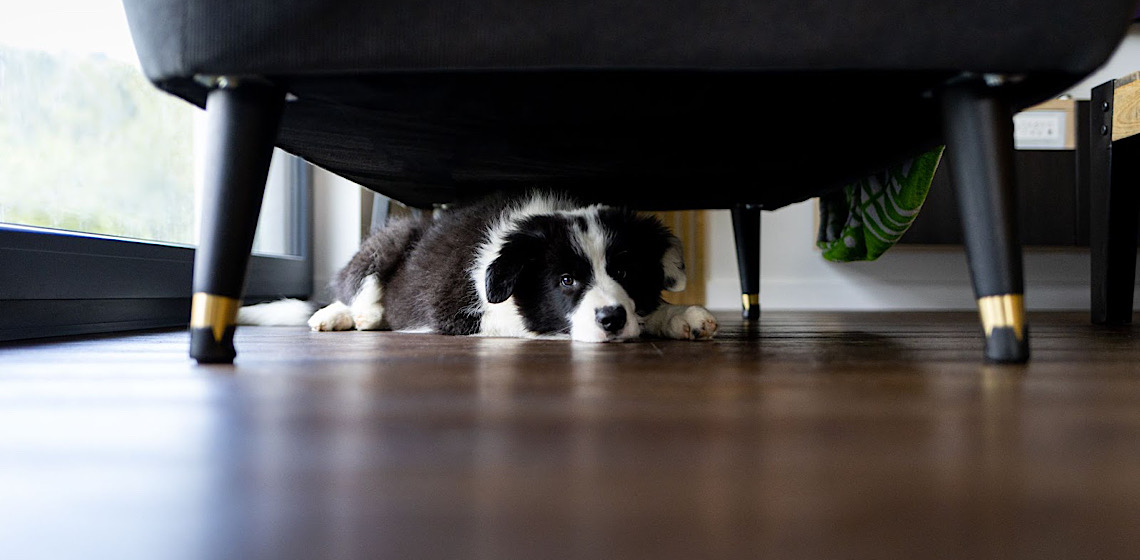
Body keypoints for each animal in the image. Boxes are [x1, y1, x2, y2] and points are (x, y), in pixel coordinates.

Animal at [249, 191, 715, 342]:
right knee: (353, 288)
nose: (612, 319)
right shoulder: (456, 312)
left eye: (625, 273)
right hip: (389, 239)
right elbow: (529, 322)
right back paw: (349, 316)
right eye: (566, 280)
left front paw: (681, 316)